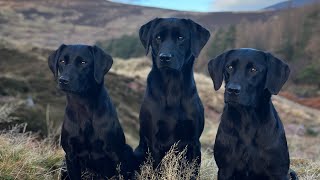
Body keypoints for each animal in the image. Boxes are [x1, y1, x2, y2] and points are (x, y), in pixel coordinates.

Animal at [48, 44, 135, 179]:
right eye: (62, 61)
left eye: (83, 62)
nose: (63, 80)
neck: (83, 107)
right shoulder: (71, 156)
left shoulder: (114, 156)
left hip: (127, 151)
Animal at [134, 17, 211, 172]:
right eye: (158, 37)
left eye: (180, 37)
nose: (165, 57)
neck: (172, 87)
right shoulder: (154, 144)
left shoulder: (194, 143)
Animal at [208, 48, 298, 179]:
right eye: (229, 67)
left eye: (253, 70)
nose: (232, 90)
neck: (247, 119)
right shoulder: (225, 169)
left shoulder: (279, 172)